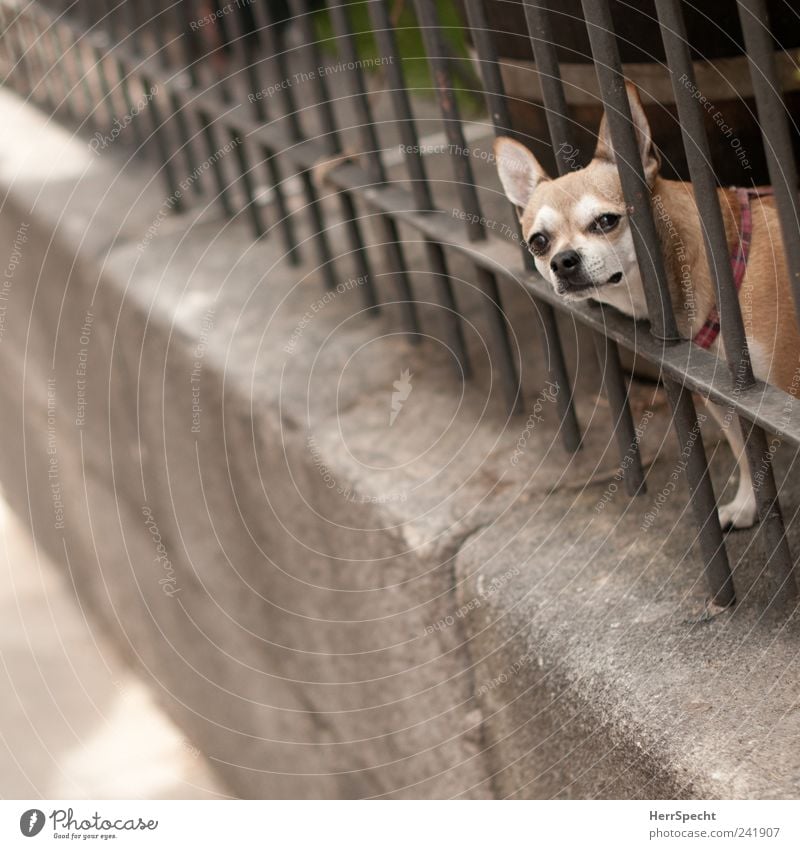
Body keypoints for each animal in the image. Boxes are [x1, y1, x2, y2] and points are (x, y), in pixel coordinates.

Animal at [494, 83, 800, 528]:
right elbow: (746, 452)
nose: (562, 261)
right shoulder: (730, 397)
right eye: (539, 242)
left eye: (606, 221)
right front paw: (749, 503)